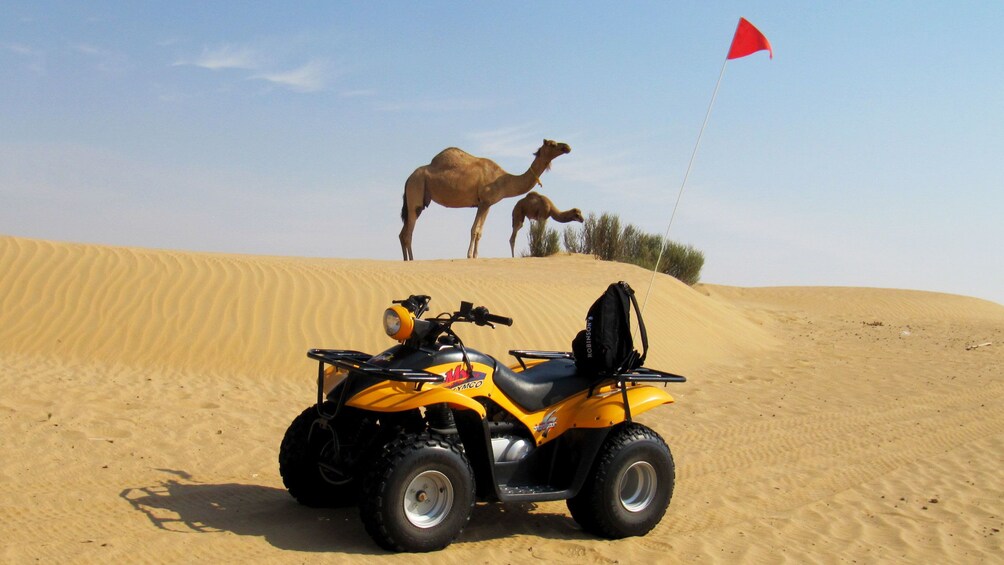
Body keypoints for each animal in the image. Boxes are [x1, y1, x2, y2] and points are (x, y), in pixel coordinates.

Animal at [399, 138, 574, 262]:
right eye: (552, 144)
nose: (567, 147)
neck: (503, 180)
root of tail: (408, 178)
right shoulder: (483, 202)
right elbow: (473, 229)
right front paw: (469, 255)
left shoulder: (488, 204)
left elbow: (479, 231)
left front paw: (476, 255)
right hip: (416, 191)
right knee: (408, 233)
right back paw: (412, 260)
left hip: (417, 200)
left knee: (403, 233)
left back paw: (406, 260)